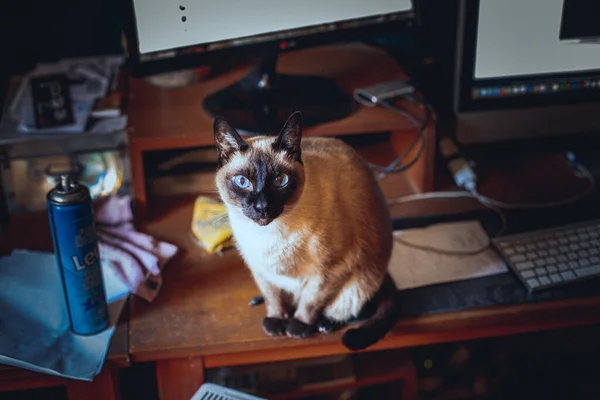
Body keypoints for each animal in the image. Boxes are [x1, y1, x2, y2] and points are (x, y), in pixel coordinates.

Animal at [212, 112, 398, 350]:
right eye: (242, 181)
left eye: (280, 180)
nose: (262, 206)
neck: (268, 238)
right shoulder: (260, 268)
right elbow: (273, 296)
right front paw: (276, 320)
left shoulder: (330, 270)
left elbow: (310, 301)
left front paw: (297, 326)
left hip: (360, 279)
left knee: (350, 306)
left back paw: (325, 324)